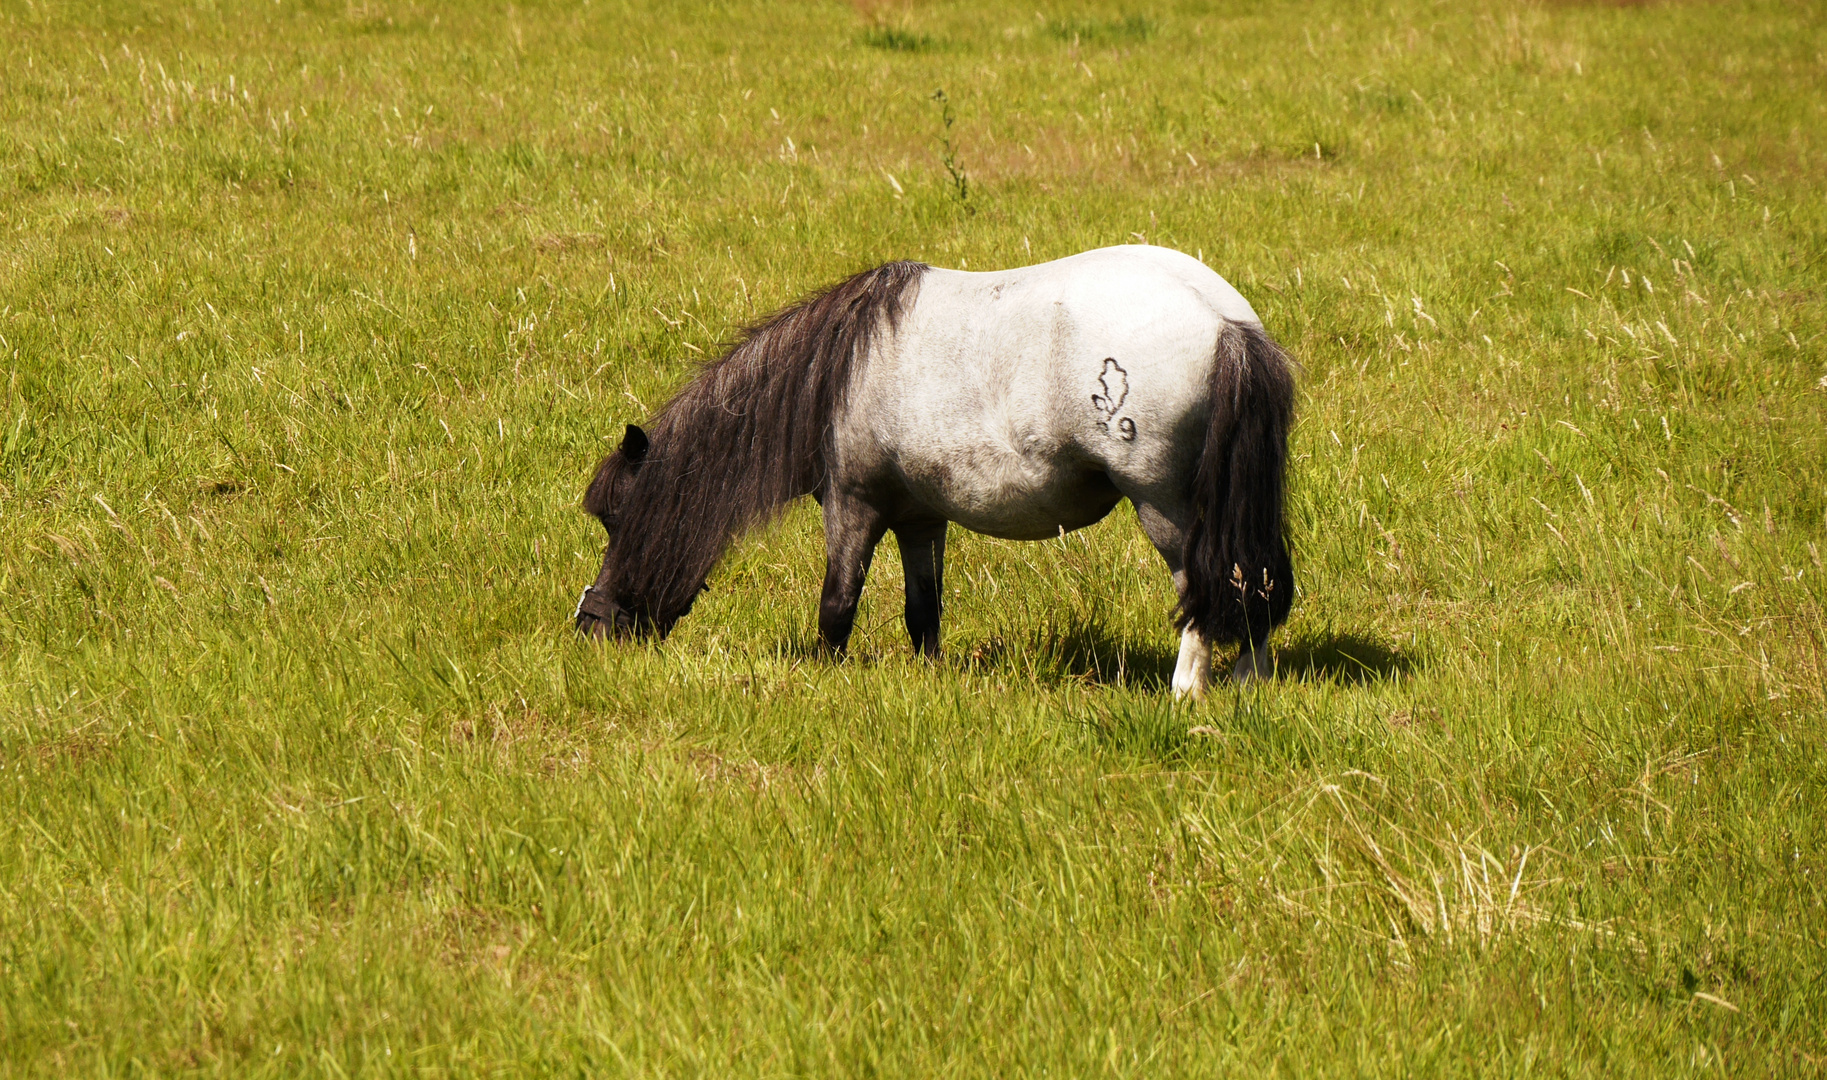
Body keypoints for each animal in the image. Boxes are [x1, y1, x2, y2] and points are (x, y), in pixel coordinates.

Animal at [577, 244, 1293, 698]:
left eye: (616, 518)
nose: (590, 626)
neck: (840, 371)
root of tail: (1225, 324)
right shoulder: (920, 519)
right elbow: (924, 609)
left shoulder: (854, 505)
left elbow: (837, 605)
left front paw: (822, 678)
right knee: (1253, 579)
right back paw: (1248, 681)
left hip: (1164, 509)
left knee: (1205, 585)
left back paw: (1187, 689)